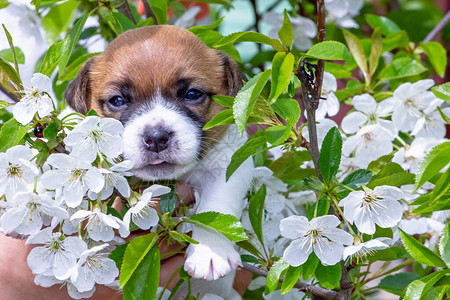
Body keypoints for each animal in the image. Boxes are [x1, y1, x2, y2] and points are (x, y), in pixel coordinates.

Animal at [64, 24, 253, 296]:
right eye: (117, 100)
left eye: (192, 94)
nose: (155, 137)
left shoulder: (230, 162)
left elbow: (217, 205)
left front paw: (210, 250)